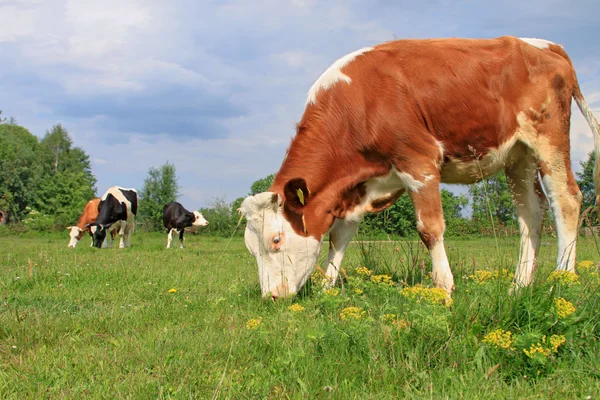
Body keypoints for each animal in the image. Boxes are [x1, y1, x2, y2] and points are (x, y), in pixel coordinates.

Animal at [240, 36, 600, 298]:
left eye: (276, 239)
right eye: (250, 249)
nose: (271, 297)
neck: (358, 104)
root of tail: (547, 45)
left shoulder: (418, 160)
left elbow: (429, 229)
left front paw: (444, 288)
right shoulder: (357, 188)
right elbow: (339, 237)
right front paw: (329, 288)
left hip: (549, 140)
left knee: (566, 199)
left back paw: (562, 280)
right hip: (518, 157)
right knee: (532, 214)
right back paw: (519, 286)